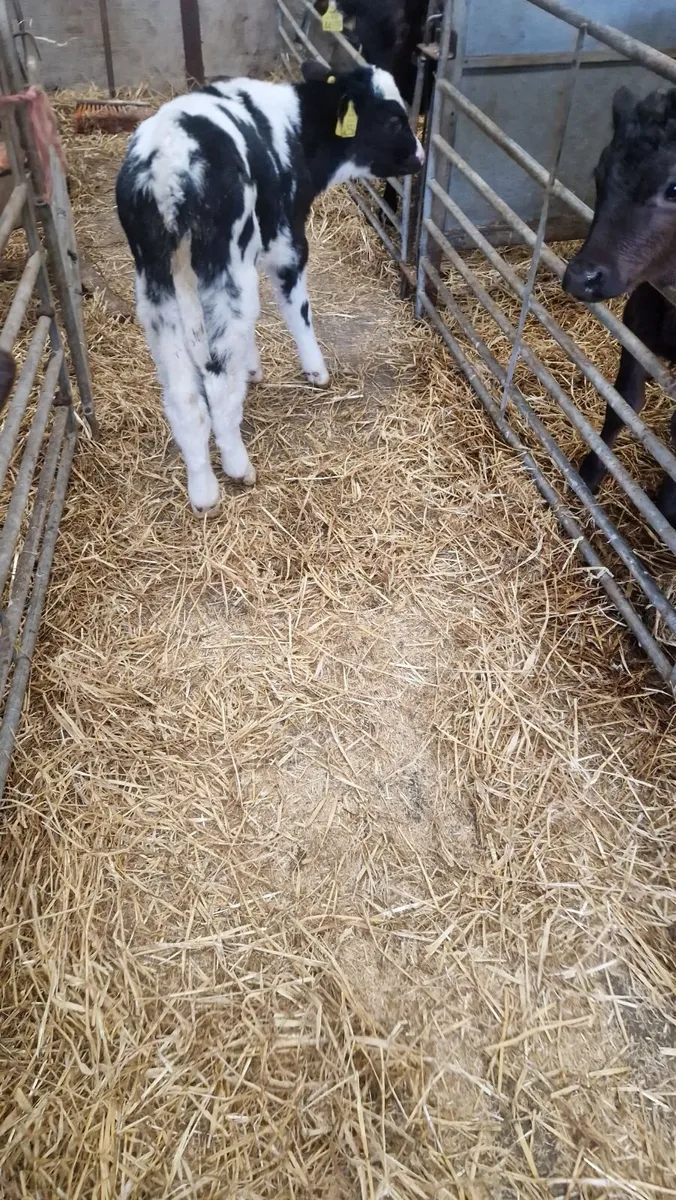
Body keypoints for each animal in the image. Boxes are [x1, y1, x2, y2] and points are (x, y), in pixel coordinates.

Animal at [115, 64, 424, 514]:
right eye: (394, 119)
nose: (420, 157)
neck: (294, 130)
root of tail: (168, 165)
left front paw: (253, 368)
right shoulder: (286, 241)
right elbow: (297, 310)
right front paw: (316, 371)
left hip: (155, 284)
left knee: (183, 391)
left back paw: (203, 490)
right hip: (224, 266)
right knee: (218, 379)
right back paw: (238, 466)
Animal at [563, 86, 676, 527]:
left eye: (674, 188)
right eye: (599, 173)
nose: (582, 277)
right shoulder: (637, 328)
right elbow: (622, 404)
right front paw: (590, 474)